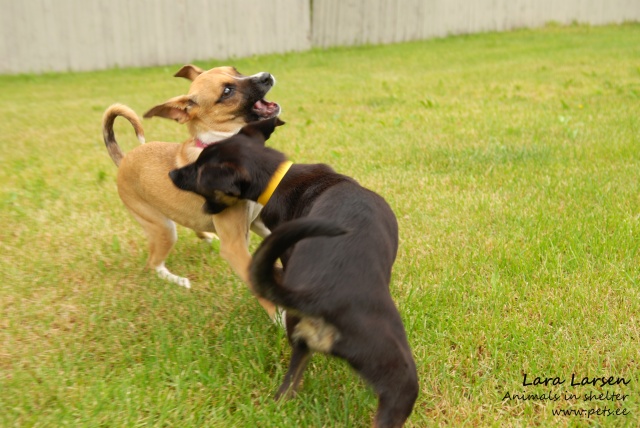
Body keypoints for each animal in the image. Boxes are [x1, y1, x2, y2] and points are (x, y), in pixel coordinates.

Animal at [102, 65, 280, 320]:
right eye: (226, 92)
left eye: (235, 70)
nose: (265, 76)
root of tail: (124, 159)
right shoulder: (234, 246)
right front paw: (280, 320)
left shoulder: (256, 221)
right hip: (162, 228)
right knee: (153, 264)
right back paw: (177, 280)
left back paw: (207, 237)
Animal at [169, 118, 419, 428]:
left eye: (199, 170)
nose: (172, 173)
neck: (277, 178)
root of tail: (318, 297)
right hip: (397, 374)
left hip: (302, 345)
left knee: (286, 390)